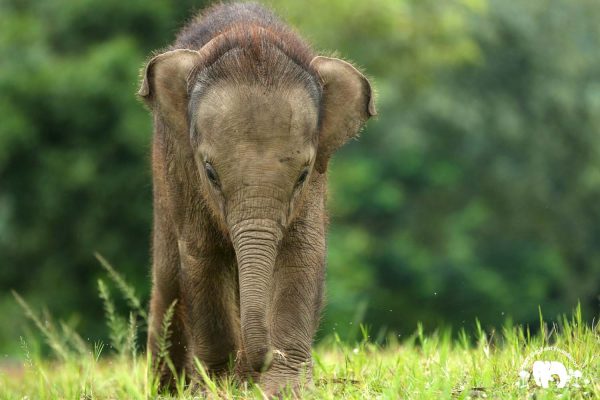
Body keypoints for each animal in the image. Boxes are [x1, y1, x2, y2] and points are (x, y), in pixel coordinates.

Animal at [140, 0, 376, 394]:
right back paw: (170, 389)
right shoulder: (184, 174)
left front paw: (284, 390)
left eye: (302, 175)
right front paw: (217, 389)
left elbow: (301, 255)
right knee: (170, 280)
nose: (265, 358)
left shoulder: (315, 186)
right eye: (210, 173)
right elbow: (204, 256)